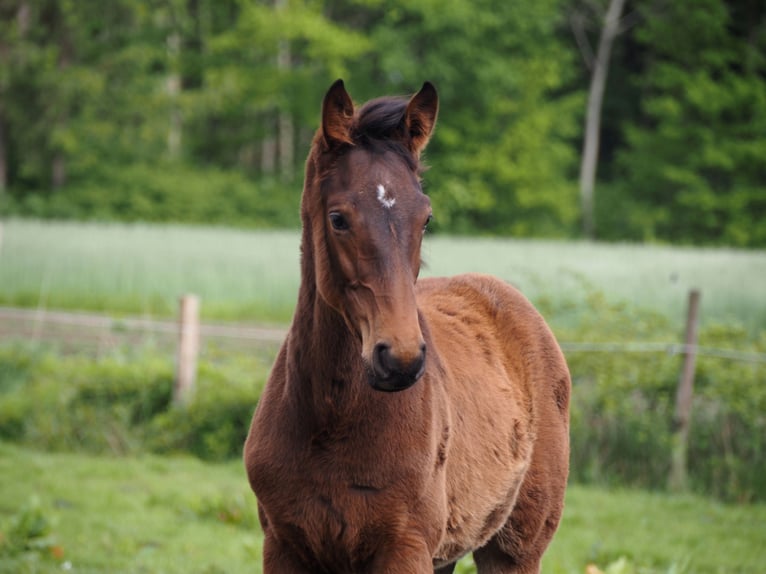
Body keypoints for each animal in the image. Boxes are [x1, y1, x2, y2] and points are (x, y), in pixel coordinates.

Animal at [246, 81, 568, 574]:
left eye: (426, 218)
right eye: (338, 218)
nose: (399, 359)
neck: (331, 419)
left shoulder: (404, 546)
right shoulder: (282, 545)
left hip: (513, 548)